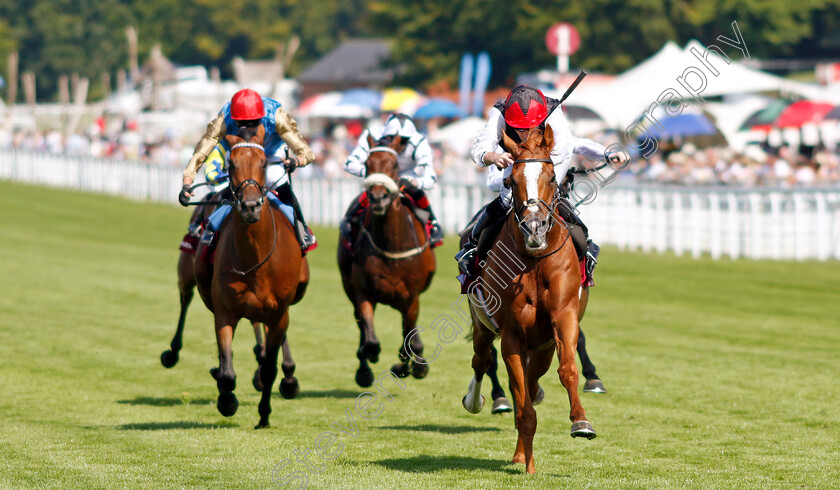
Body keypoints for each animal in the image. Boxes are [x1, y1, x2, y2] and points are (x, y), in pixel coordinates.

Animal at [193, 126, 308, 428]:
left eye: (264, 163)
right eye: (231, 165)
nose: (250, 206)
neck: (255, 257)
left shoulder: (279, 312)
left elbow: (269, 368)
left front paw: (264, 414)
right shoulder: (225, 310)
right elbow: (227, 371)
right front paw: (227, 400)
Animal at [338, 133, 436, 386]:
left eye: (394, 165)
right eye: (367, 163)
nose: (378, 197)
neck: (391, 246)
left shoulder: (411, 298)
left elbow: (408, 339)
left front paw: (410, 366)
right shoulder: (363, 292)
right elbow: (370, 338)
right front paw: (368, 363)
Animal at [462, 126, 592, 474]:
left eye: (551, 176)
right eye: (512, 180)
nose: (535, 228)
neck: (534, 260)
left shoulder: (563, 317)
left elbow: (567, 369)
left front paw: (581, 422)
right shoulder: (511, 332)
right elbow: (522, 404)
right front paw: (528, 464)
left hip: (543, 346)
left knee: (532, 385)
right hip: (482, 325)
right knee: (482, 361)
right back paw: (478, 402)